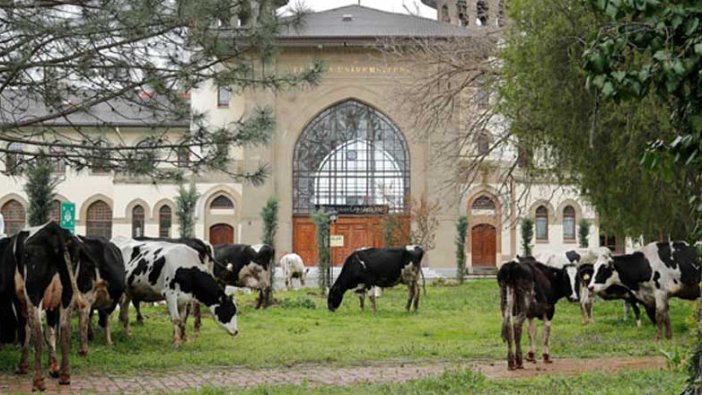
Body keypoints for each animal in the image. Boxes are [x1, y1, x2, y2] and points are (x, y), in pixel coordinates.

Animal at [0, 224, 81, 392]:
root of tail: (54, 229)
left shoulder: (17, 300)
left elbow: (26, 330)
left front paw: (23, 366)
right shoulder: (52, 306)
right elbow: (50, 332)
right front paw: (54, 366)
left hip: (33, 294)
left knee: (37, 331)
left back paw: (38, 381)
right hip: (67, 294)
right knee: (65, 330)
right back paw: (64, 375)